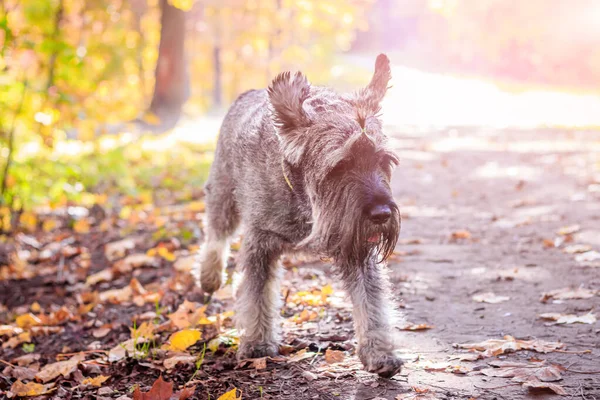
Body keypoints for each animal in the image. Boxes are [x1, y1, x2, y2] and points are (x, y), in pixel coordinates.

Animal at [197, 54, 404, 378]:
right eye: (341, 165)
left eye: (383, 161)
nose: (382, 213)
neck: (307, 203)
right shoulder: (260, 243)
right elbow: (256, 295)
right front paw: (257, 344)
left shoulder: (356, 246)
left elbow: (372, 301)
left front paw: (380, 352)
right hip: (223, 195)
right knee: (215, 236)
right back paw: (209, 277)